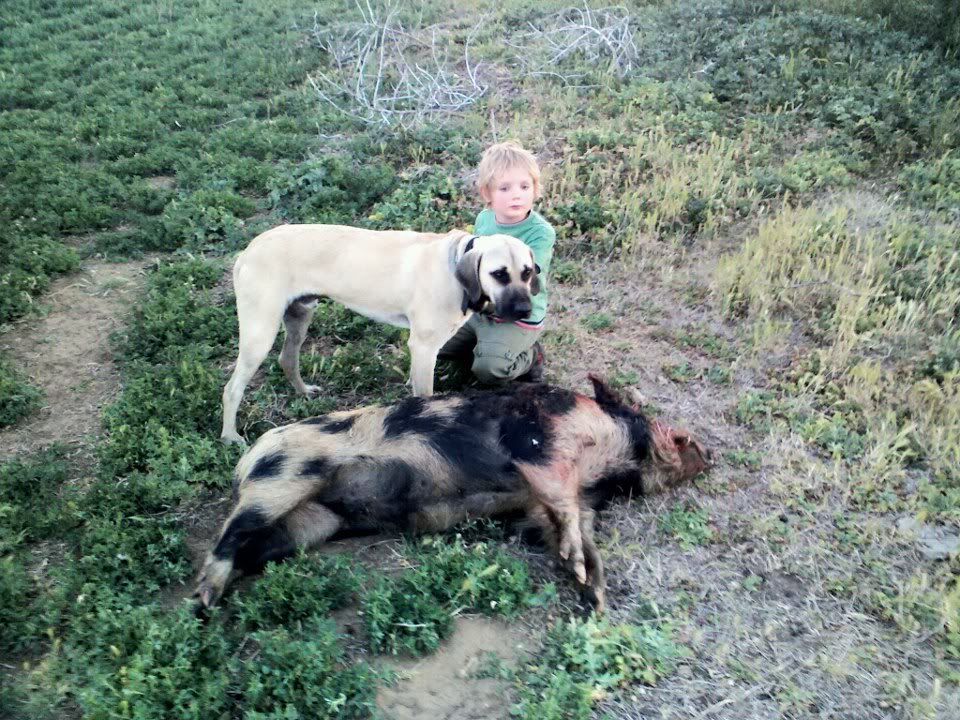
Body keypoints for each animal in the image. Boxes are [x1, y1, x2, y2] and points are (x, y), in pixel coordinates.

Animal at [219, 225, 540, 442]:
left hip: (299, 318)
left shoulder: (423, 350)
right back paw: (230, 436)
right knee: (232, 388)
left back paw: (303, 391)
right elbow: (425, 396)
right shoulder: (424, 347)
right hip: (260, 333)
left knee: (287, 359)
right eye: (499, 274)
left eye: (527, 272)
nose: (525, 310)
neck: (456, 264)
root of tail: (248, 250)